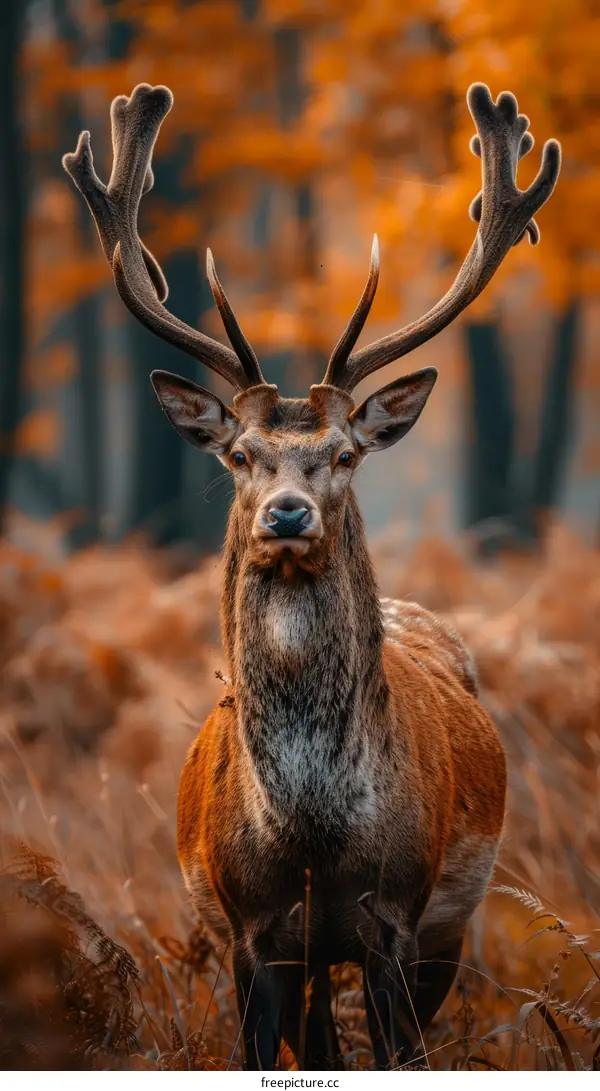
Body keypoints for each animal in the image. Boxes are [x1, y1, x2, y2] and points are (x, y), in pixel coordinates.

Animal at [63, 81, 560, 1070]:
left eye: (343, 454)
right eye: (240, 454)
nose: (287, 514)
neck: (312, 838)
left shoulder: (398, 917)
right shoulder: (250, 929)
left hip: (449, 925)